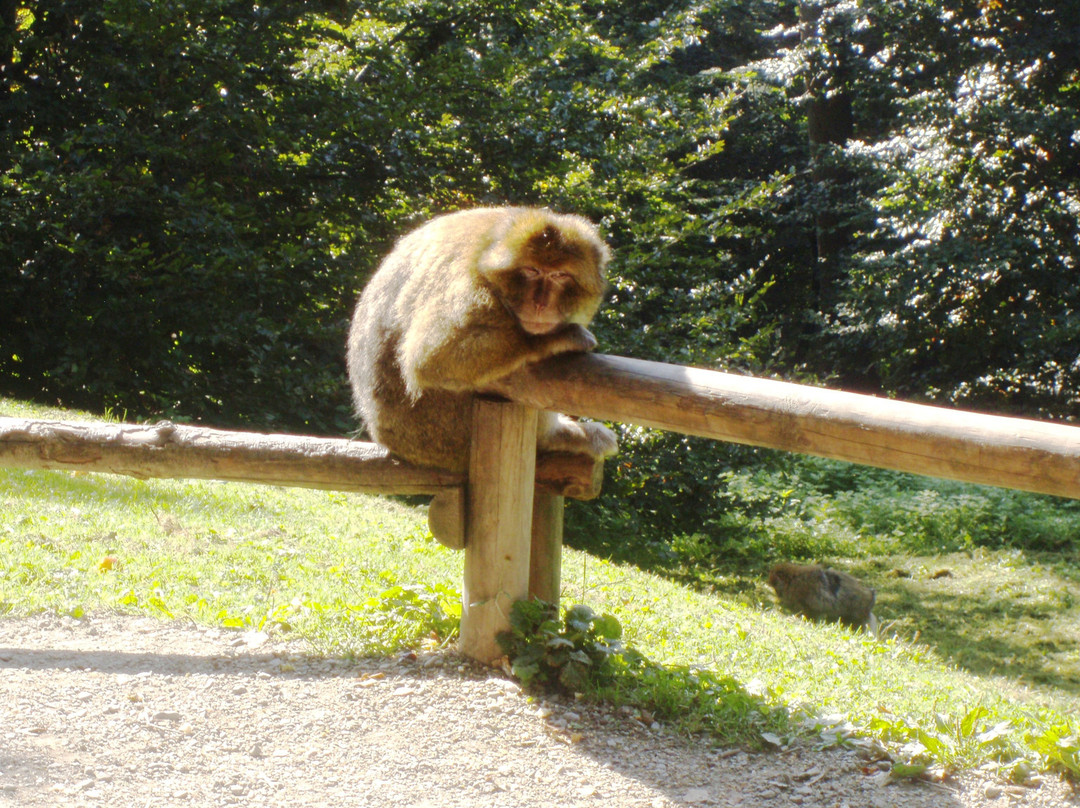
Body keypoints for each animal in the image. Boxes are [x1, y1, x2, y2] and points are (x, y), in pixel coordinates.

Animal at [346, 207, 618, 473]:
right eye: (532, 271)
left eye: (560, 275)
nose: (540, 303)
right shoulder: (474, 293)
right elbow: (429, 359)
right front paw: (558, 337)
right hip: (446, 438)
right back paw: (556, 437)